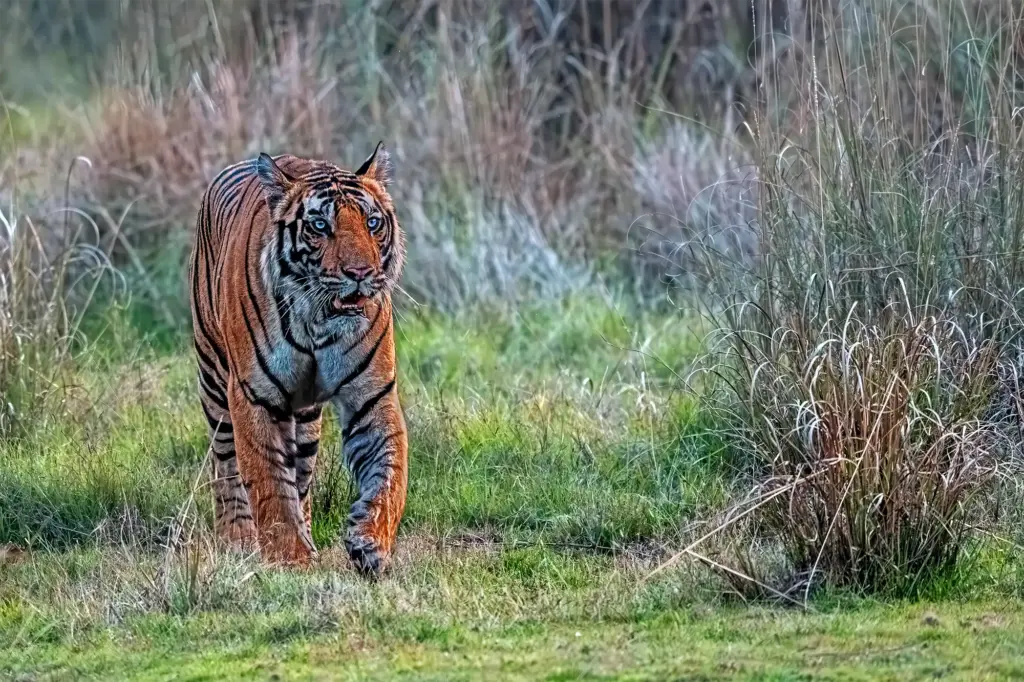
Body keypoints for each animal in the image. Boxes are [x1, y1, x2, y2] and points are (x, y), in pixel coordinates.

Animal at [188, 143, 407, 576]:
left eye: (373, 222)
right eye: (320, 226)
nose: (361, 273)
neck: (319, 324)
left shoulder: (373, 396)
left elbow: (390, 474)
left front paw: (369, 541)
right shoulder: (254, 396)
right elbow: (268, 481)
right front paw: (290, 559)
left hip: (305, 420)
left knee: (301, 477)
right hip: (214, 382)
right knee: (226, 466)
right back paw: (237, 539)